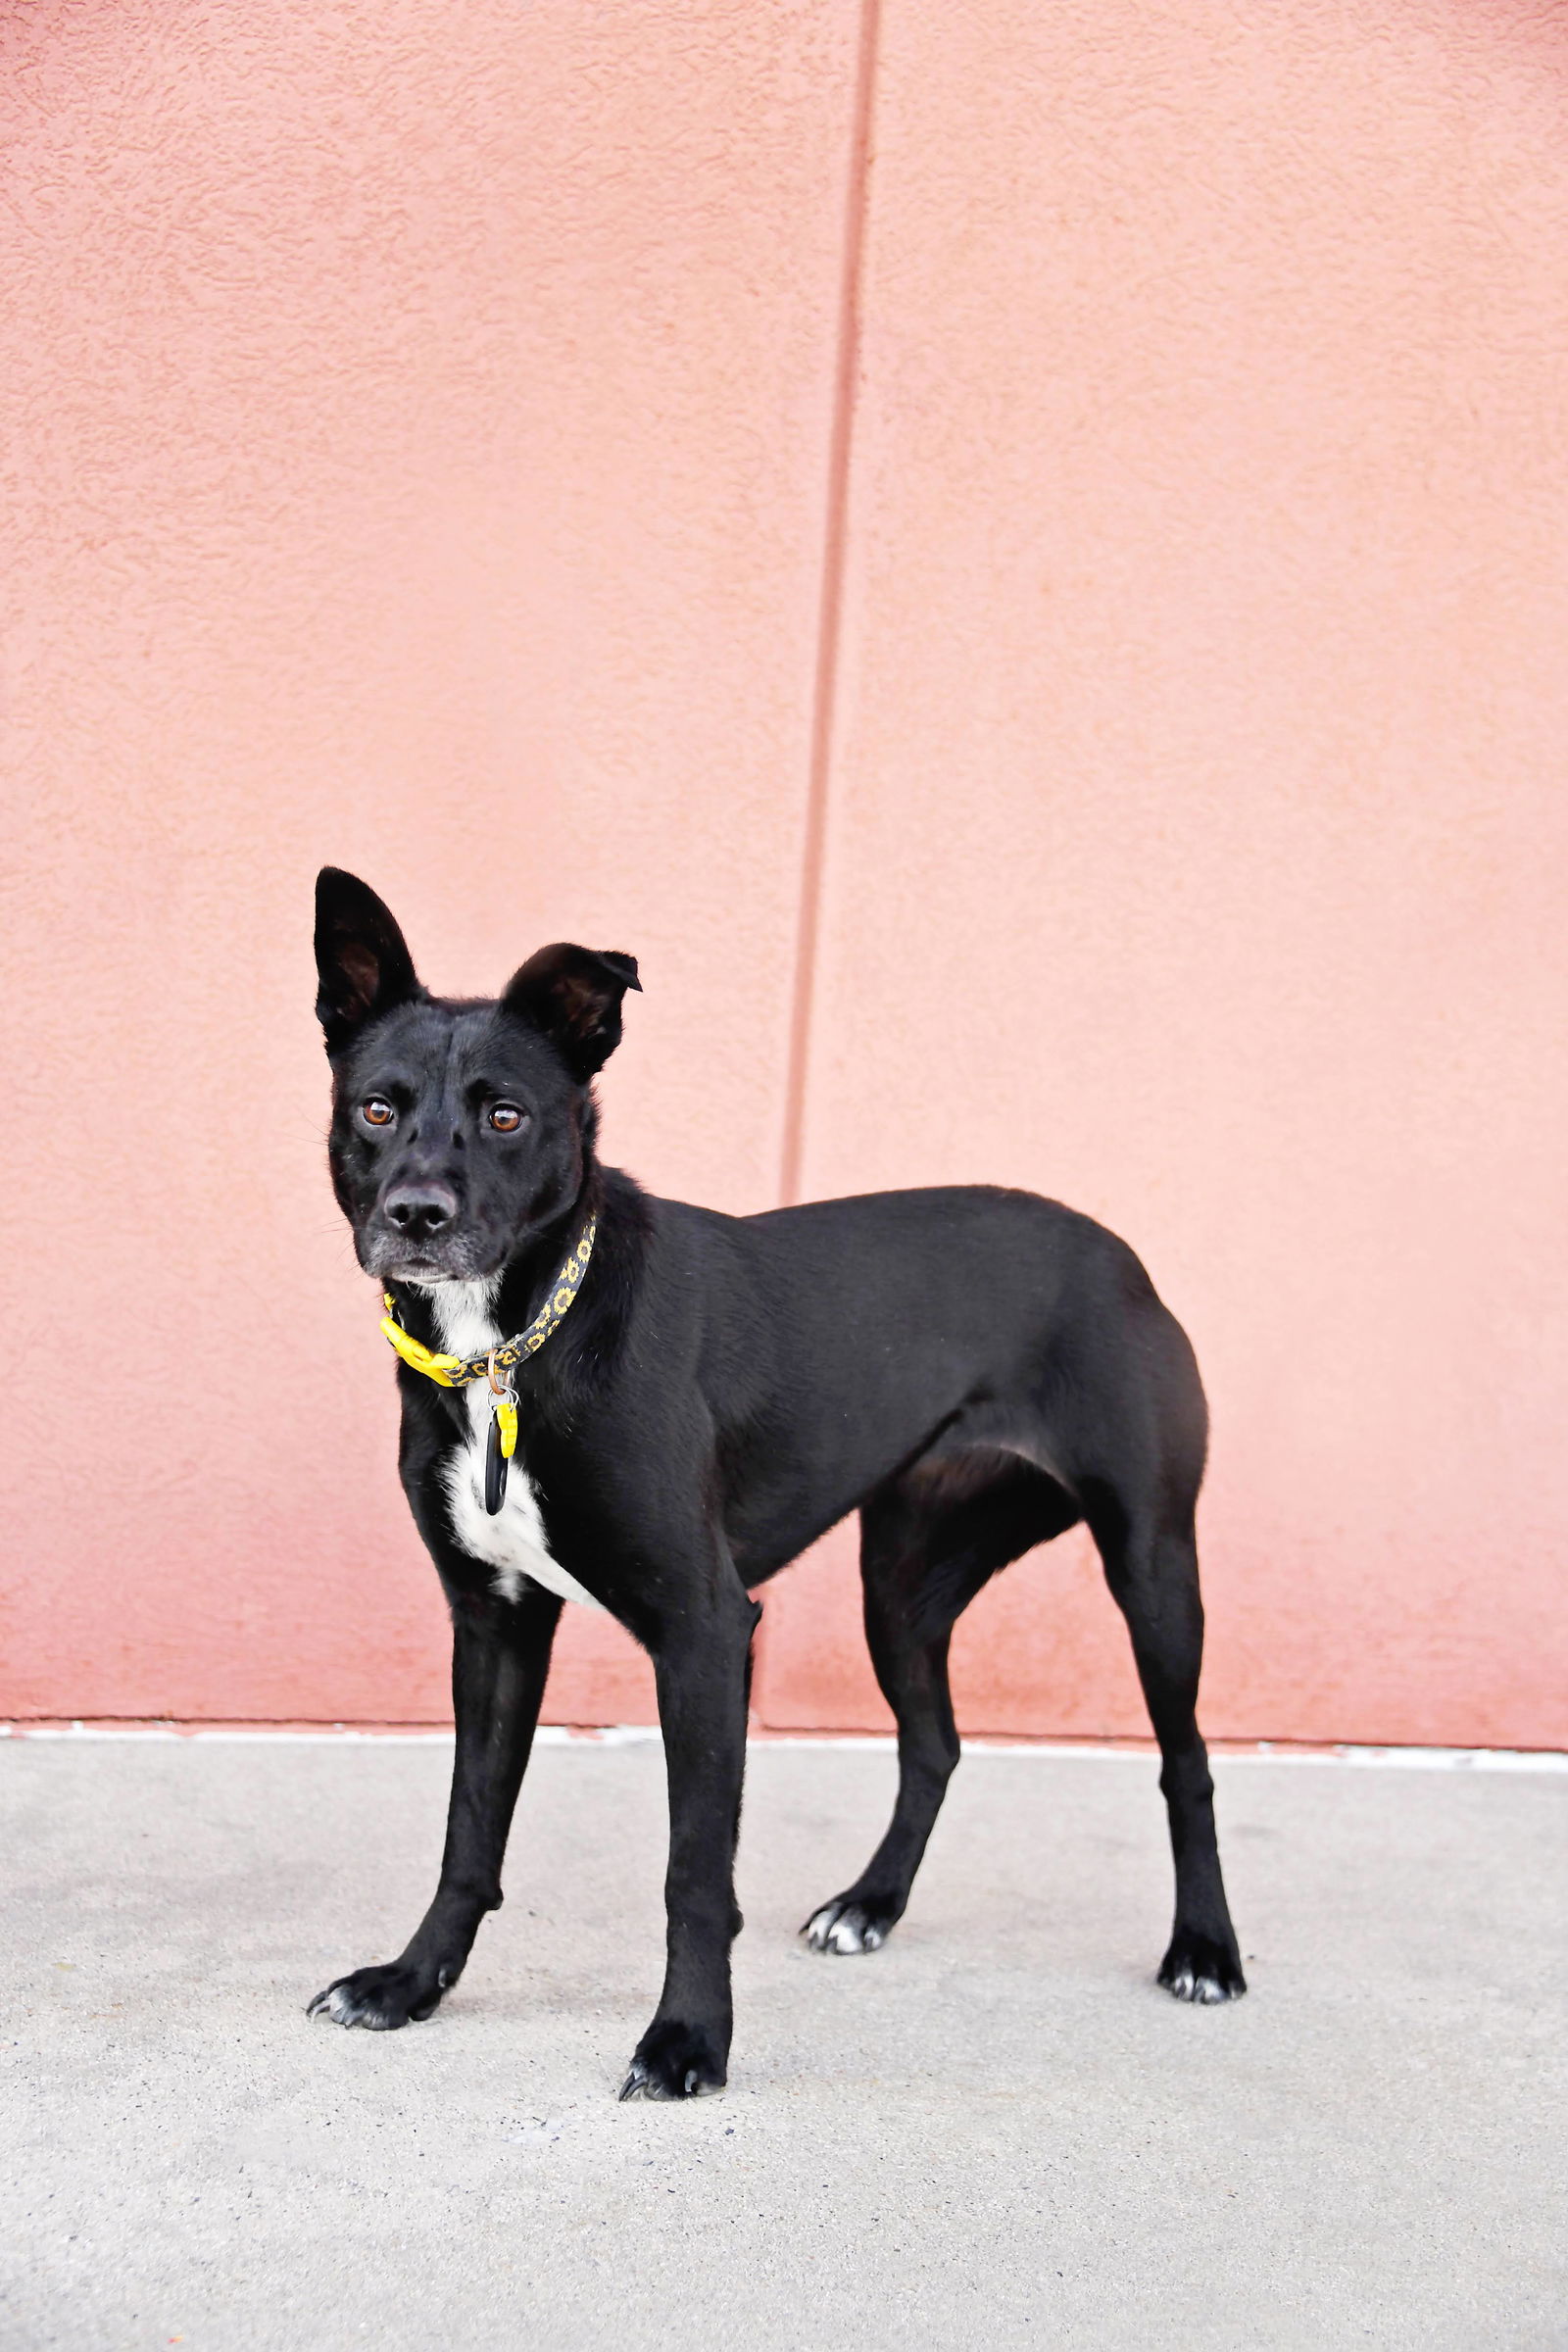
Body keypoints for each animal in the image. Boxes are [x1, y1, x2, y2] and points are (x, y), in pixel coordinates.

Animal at [303, 865, 1241, 2097]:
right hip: (901, 1581)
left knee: (1187, 1763)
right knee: (933, 1743)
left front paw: (687, 2039)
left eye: (506, 1115)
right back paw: (871, 1904)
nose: (417, 1214)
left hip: (1151, 1564)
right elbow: (469, 1834)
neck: (513, 1348)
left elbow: (694, 1873)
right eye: (377, 1108)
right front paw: (411, 1984)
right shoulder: (494, 1622)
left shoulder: (706, 1632)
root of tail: (1117, 1250)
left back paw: (1205, 1949)